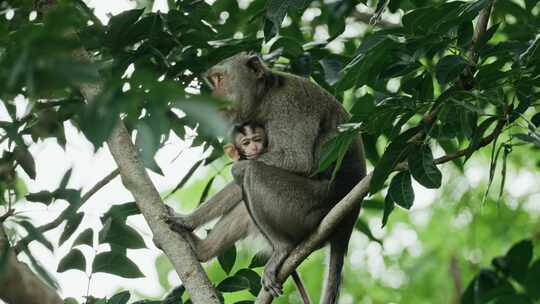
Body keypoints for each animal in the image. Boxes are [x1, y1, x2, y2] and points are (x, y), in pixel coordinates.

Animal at [169, 53, 364, 302]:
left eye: (220, 79)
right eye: (213, 81)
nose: (213, 96)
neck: (266, 96)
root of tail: (348, 221)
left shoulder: (290, 108)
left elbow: (297, 160)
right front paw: (188, 221)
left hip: (310, 209)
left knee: (253, 174)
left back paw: (283, 248)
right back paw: (202, 250)